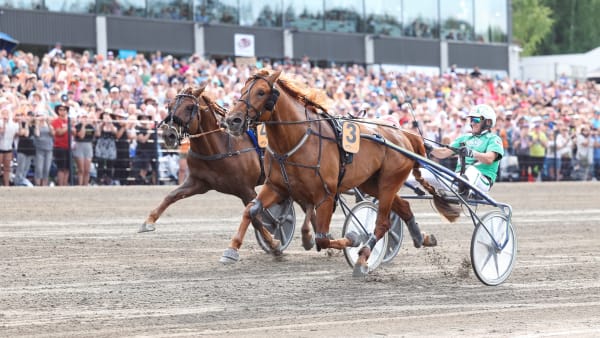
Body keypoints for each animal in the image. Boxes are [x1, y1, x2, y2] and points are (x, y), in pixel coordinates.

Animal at [138, 84, 308, 262]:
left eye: (190, 107)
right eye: (169, 106)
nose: (169, 134)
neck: (220, 146)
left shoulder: (246, 190)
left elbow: (255, 218)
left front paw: (274, 245)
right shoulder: (198, 183)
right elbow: (171, 196)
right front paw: (148, 222)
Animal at [220, 70, 460, 276]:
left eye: (261, 92)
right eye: (242, 90)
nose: (232, 120)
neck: (296, 140)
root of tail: (405, 135)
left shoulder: (325, 195)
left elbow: (323, 238)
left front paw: (353, 238)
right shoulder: (276, 187)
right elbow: (251, 211)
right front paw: (231, 250)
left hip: (389, 181)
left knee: (382, 224)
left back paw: (363, 258)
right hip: (371, 183)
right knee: (404, 207)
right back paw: (422, 238)